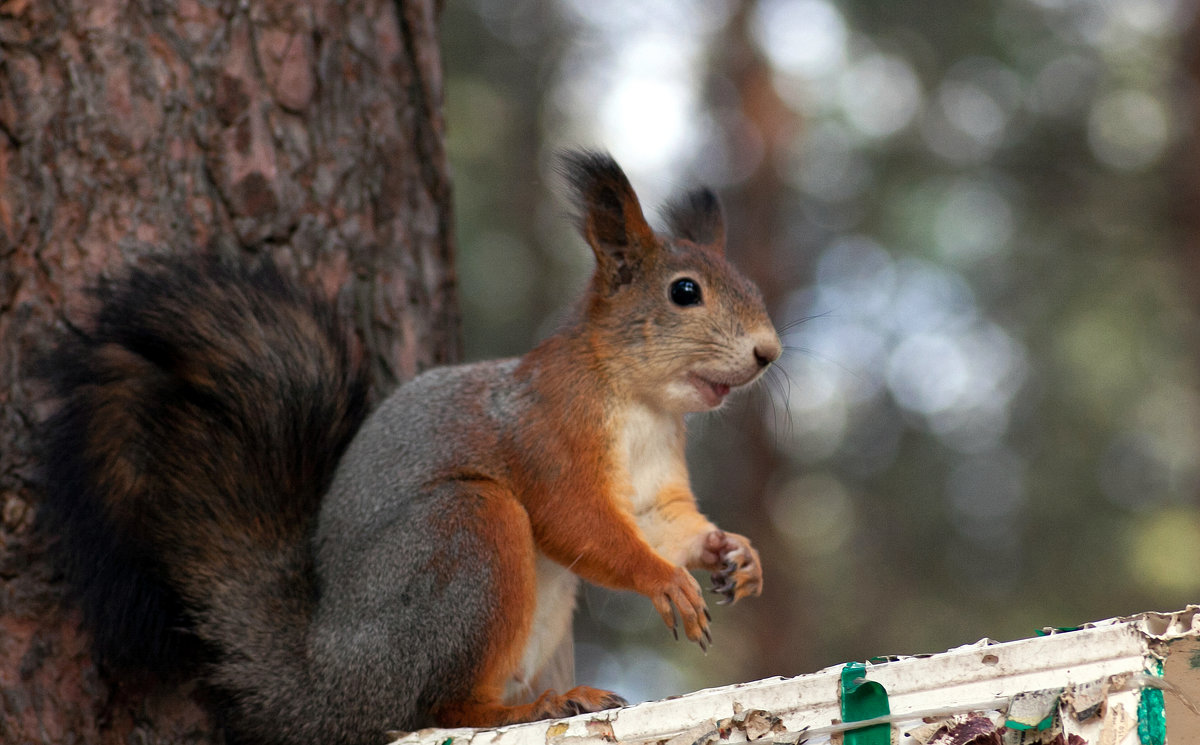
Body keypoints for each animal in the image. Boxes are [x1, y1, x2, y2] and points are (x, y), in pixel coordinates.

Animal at [35, 151, 777, 743]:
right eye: (685, 292)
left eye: (752, 286)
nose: (768, 353)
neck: (642, 404)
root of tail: (331, 683)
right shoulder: (546, 434)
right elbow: (581, 524)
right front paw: (664, 581)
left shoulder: (655, 481)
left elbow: (665, 526)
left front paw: (735, 555)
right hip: (464, 538)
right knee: (437, 706)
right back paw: (528, 707)